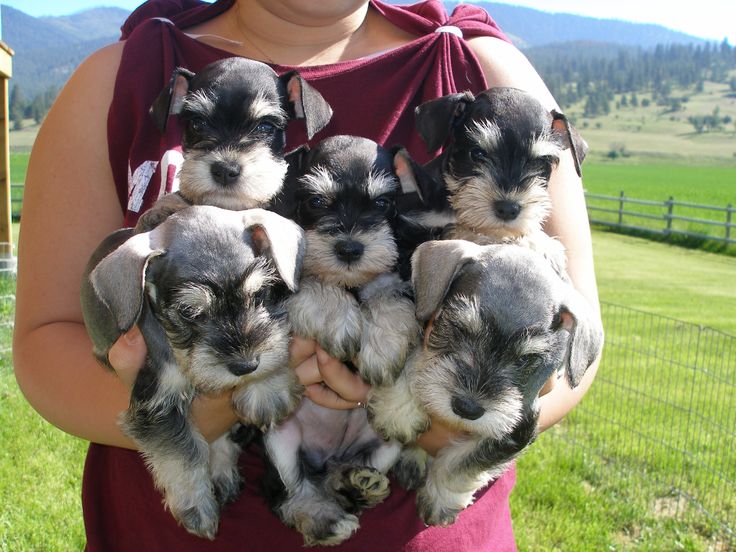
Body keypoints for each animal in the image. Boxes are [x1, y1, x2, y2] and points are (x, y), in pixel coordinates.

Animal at [82, 206, 306, 540]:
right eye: (189, 312)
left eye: (260, 294)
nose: (246, 365)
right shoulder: (156, 405)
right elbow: (181, 451)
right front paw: (196, 508)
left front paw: (266, 387)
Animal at [264, 136, 426, 544]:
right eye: (316, 201)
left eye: (382, 203)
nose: (350, 249)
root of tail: (327, 460)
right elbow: (313, 284)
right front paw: (340, 321)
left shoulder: (401, 288)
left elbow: (391, 307)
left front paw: (388, 367)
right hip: (278, 438)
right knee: (287, 492)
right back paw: (323, 518)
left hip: (384, 448)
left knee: (348, 474)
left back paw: (356, 484)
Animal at [368, 240, 604, 528]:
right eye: (460, 329)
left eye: (526, 359)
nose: (467, 408)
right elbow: (417, 360)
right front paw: (398, 411)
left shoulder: (518, 426)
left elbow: (465, 463)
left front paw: (440, 500)